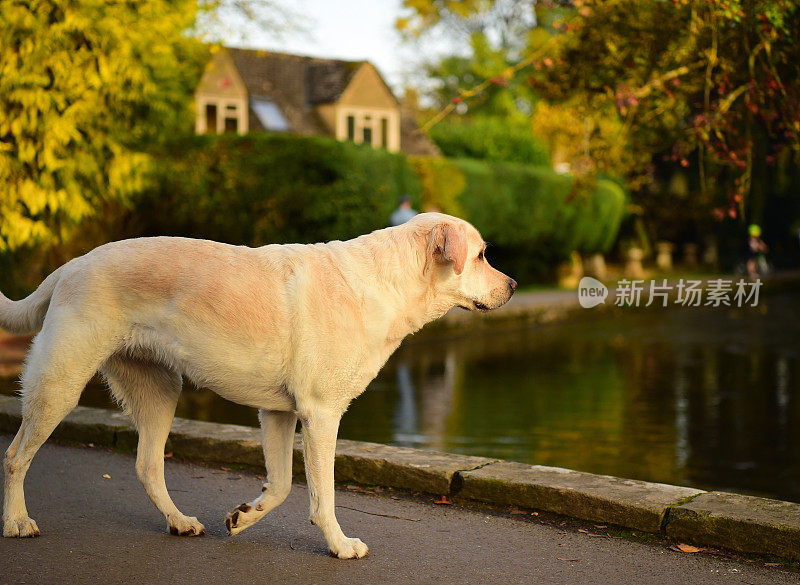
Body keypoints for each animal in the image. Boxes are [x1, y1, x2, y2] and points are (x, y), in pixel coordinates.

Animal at [0, 212, 516, 560]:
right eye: (481, 255)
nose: (512, 285)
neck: (384, 284)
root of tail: (72, 264)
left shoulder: (280, 413)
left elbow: (284, 485)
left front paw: (244, 517)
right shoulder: (321, 415)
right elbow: (323, 495)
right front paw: (339, 544)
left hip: (160, 392)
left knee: (147, 465)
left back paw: (179, 522)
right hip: (60, 384)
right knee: (15, 456)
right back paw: (17, 521)